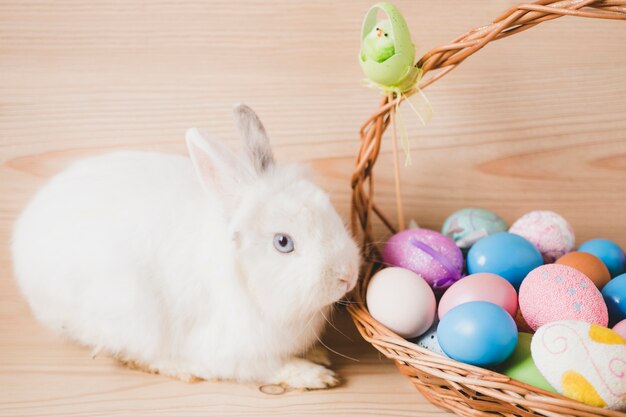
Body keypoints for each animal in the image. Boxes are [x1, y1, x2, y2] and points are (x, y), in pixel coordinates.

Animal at [12, 104, 358, 386]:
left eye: (327, 204)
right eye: (283, 242)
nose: (348, 275)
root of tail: (23, 238)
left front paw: (318, 355)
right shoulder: (234, 352)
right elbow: (268, 368)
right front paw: (314, 375)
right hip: (133, 313)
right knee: (135, 352)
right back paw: (186, 369)